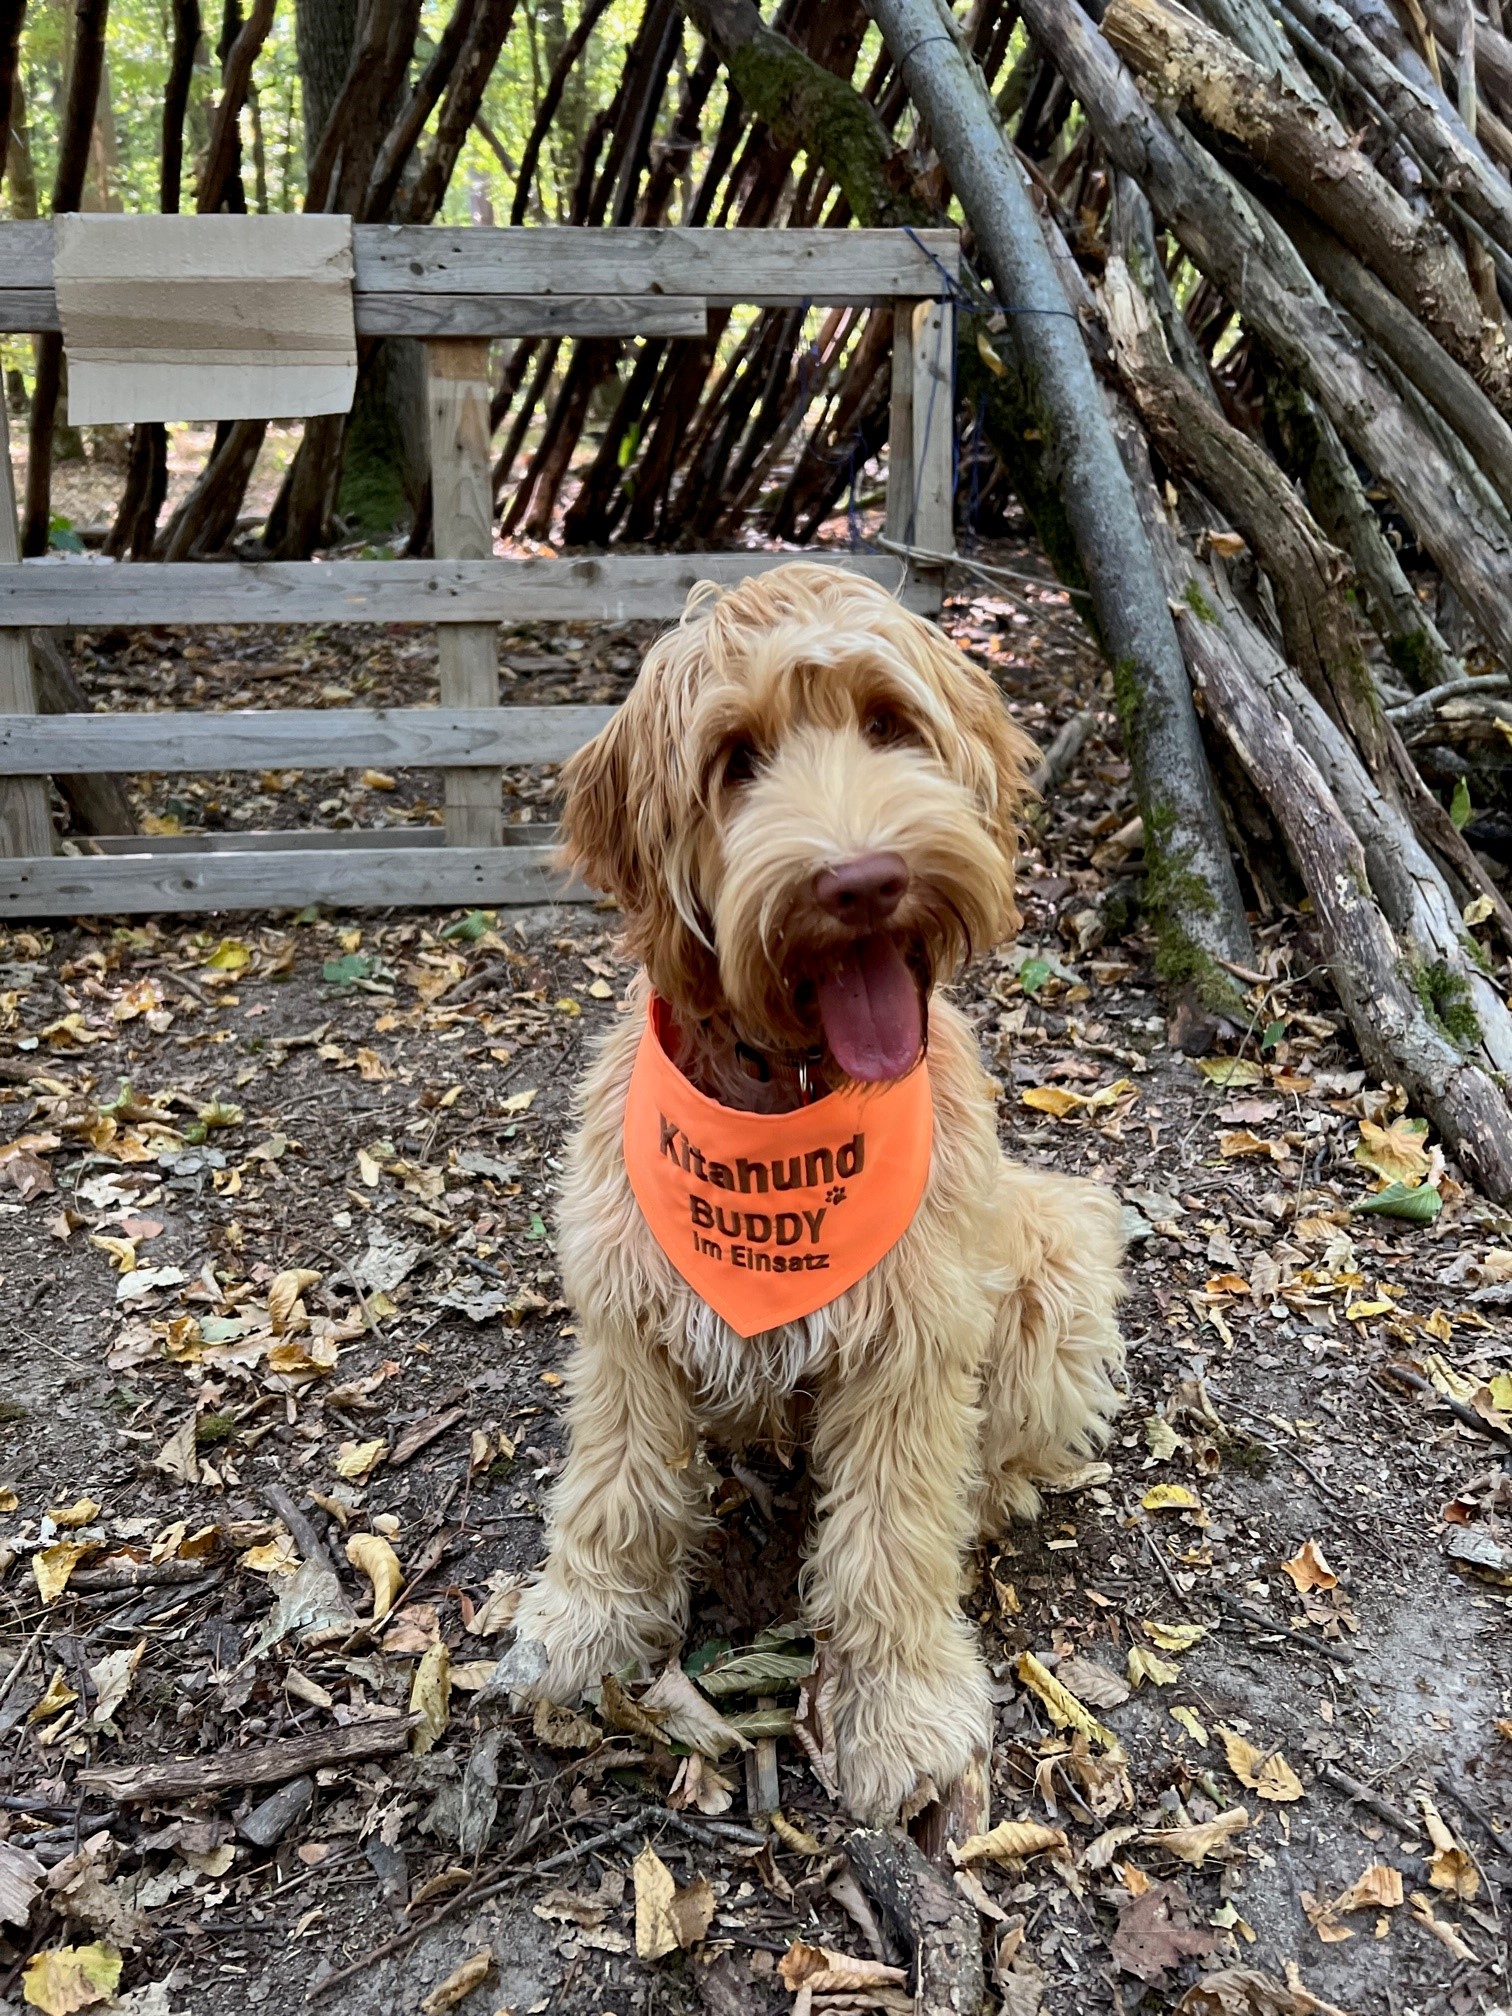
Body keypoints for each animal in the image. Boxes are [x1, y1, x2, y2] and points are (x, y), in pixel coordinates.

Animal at [511, 562, 1124, 1823]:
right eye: (734, 758)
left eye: (889, 724)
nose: (865, 880)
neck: (782, 1097)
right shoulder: (623, 1298)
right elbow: (616, 1479)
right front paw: (588, 1621)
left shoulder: (916, 1335)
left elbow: (892, 1535)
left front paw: (902, 1716)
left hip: (1058, 1249)